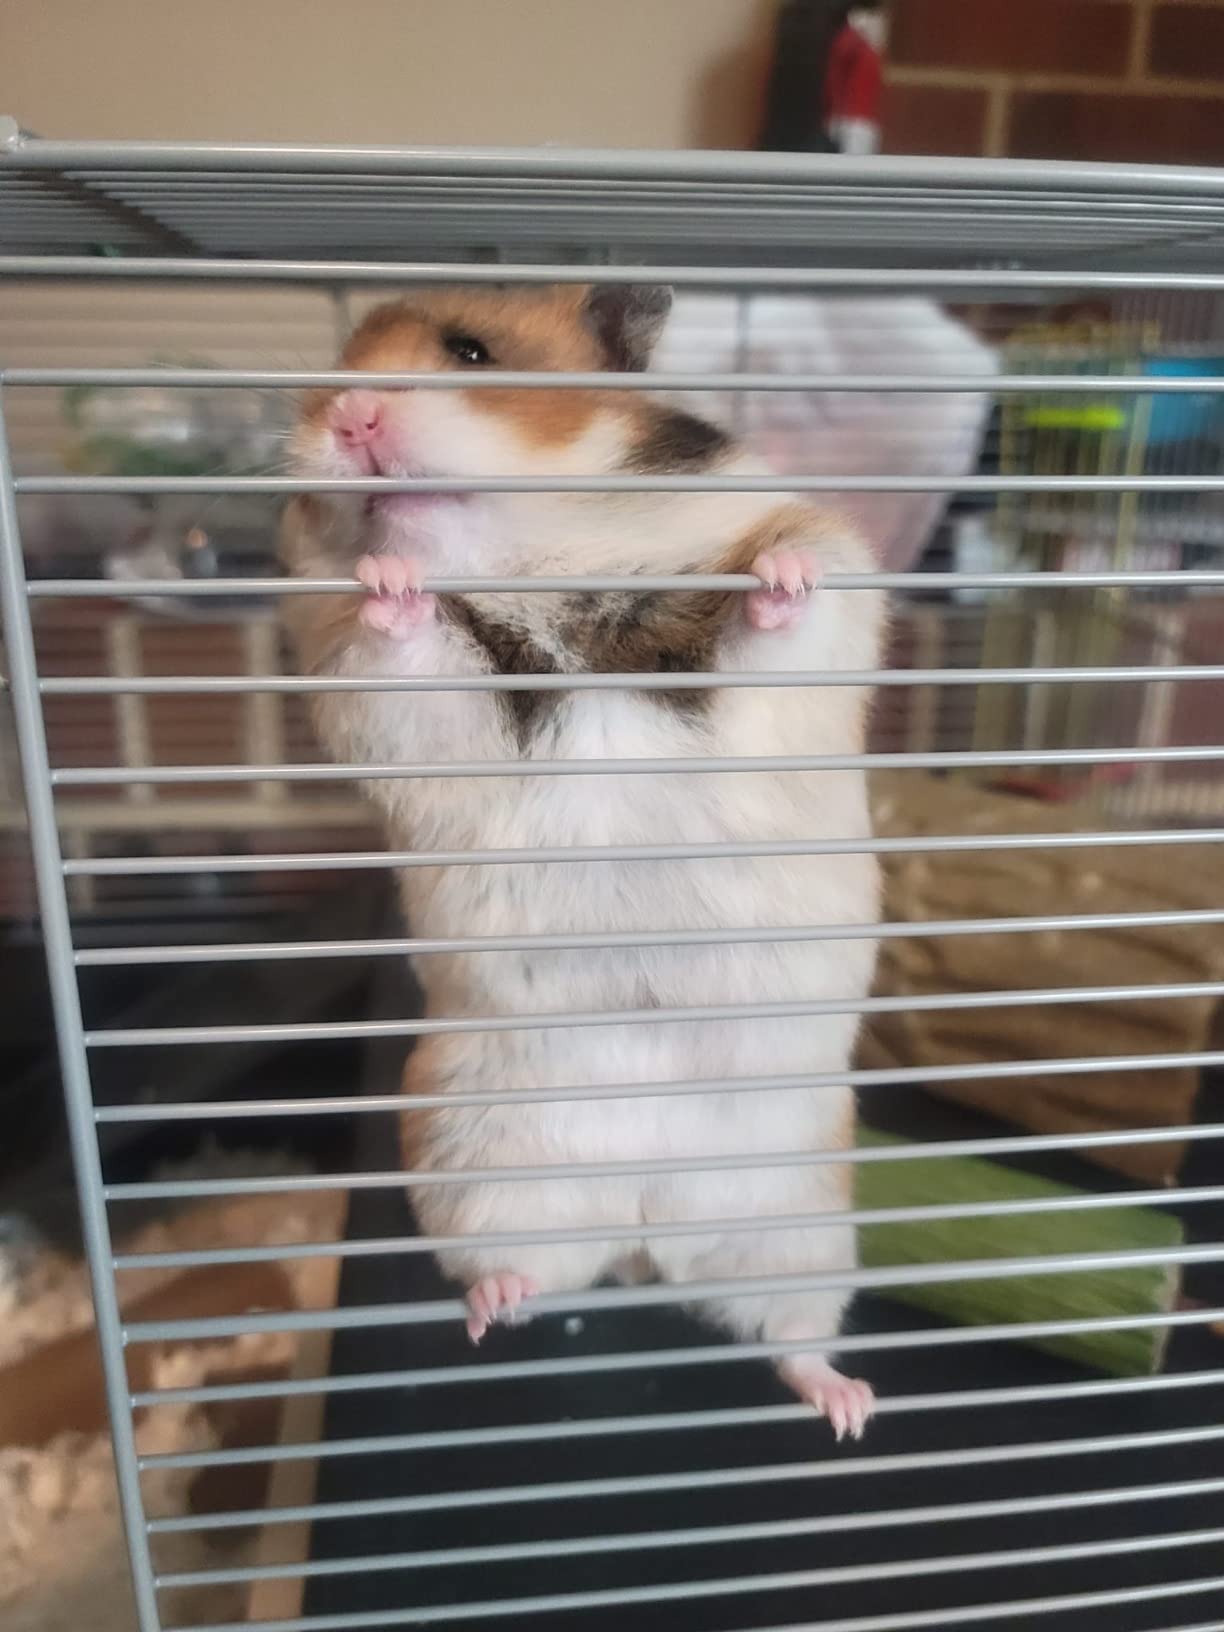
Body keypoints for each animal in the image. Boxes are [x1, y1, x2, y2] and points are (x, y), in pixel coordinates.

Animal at [280, 283, 884, 1439]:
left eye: (471, 352)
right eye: (329, 374)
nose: (352, 417)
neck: (536, 566)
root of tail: (649, 1231)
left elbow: (782, 613)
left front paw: (783, 572)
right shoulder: (380, 687)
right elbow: (401, 643)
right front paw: (391, 573)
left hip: (799, 1226)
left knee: (788, 1335)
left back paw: (851, 1409)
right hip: (484, 1174)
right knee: (519, 1272)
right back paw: (495, 1309)